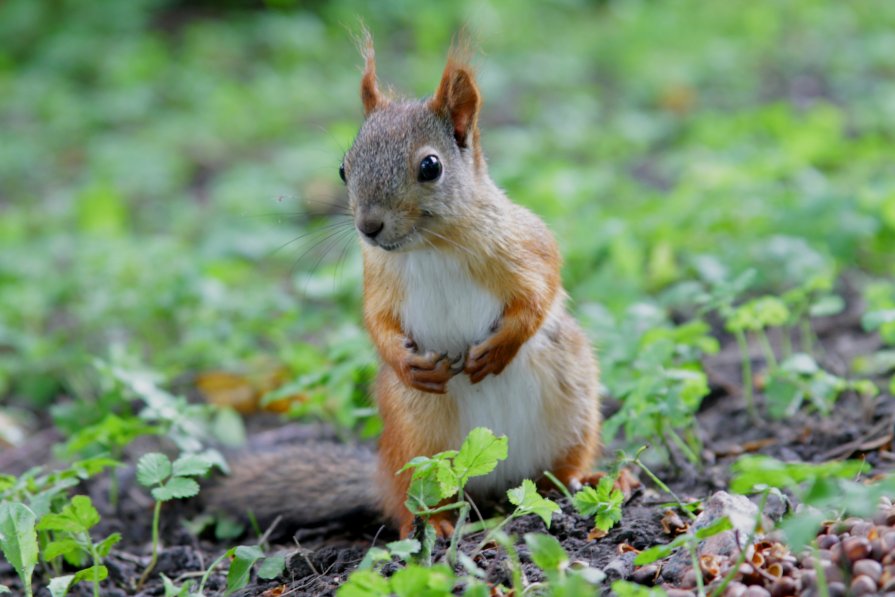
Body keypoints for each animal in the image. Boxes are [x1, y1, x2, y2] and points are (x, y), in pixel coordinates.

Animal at [207, 32, 600, 536]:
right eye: (343, 168)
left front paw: (500, 348)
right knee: (414, 501)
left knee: (559, 469)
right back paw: (436, 524)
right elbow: (376, 321)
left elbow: (541, 290)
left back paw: (589, 480)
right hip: (417, 435)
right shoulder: (377, 276)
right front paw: (405, 361)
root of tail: (498, 479)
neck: (431, 247)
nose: (368, 227)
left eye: (430, 167)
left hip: (573, 399)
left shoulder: (525, 245)